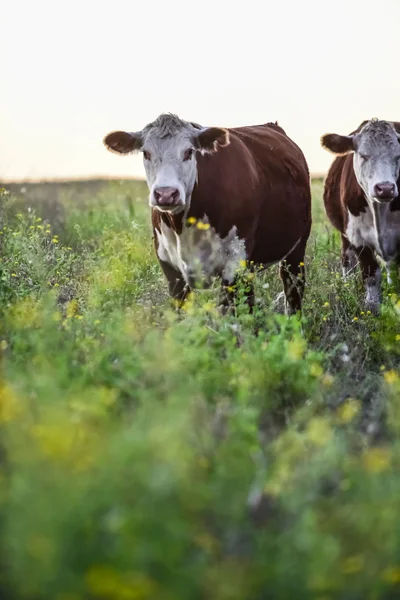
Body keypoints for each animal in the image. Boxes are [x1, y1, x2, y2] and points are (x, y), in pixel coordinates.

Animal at [103, 114, 312, 316]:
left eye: (188, 152)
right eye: (146, 153)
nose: (166, 194)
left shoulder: (236, 262)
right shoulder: (170, 267)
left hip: (296, 251)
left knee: (293, 294)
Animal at [320, 118, 400, 314]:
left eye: (398, 156)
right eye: (363, 155)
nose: (385, 188)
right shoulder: (358, 237)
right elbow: (370, 275)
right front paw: (373, 309)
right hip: (344, 235)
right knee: (347, 259)